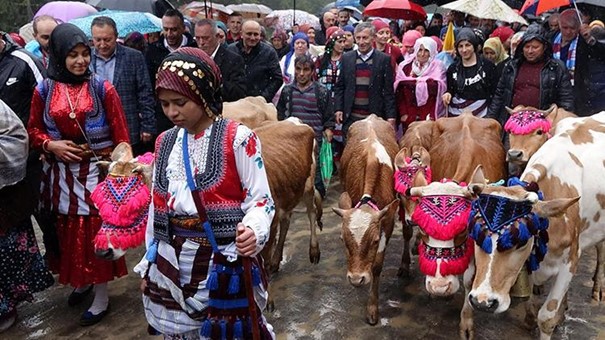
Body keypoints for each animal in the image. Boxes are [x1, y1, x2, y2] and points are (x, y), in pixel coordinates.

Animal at [254, 117, 324, 310]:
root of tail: (292, 120)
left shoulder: (269, 225)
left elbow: (263, 262)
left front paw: (268, 300)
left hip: (307, 185)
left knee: (311, 212)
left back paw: (314, 251)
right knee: (286, 221)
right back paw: (277, 260)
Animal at [332, 115, 398, 326]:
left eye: (375, 241)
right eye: (343, 240)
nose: (356, 279)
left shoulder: (388, 221)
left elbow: (376, 266)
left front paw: (372, 309)